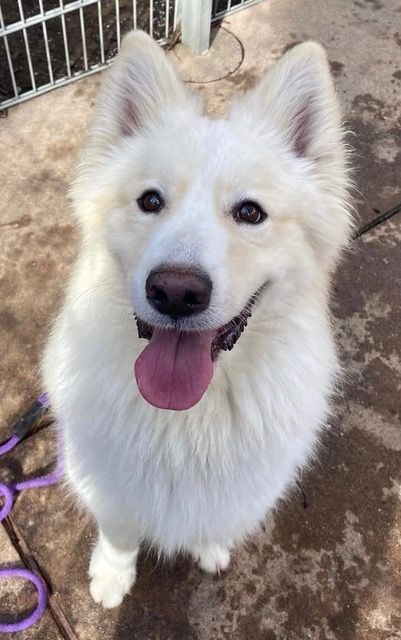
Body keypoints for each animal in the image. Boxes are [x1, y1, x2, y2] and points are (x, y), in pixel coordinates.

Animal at [42, 31, 352, 608]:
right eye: (150, 201)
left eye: (250, 212)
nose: (175, 292)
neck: (187, 418)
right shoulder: (108, 486)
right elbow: (120, 533)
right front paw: (112, 576)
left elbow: (214, 521)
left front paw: (210, 547)